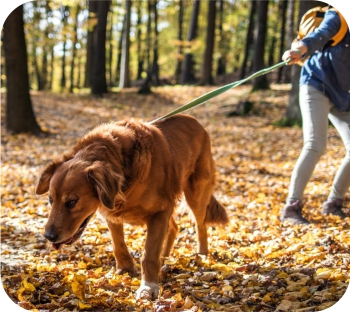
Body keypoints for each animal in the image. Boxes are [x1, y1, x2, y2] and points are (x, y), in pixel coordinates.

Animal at [34, 114, 227, 300]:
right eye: (50, 200)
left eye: (72, 202)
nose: (48, 236)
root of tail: (194, 120)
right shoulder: (113, 213)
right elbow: (118, 244)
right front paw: (125, 269)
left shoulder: (160, 211)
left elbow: (149, 255)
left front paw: (148, 286)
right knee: (174, 226)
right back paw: (164, 256)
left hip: (196, 193)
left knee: (200, 225)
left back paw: (202, 255)